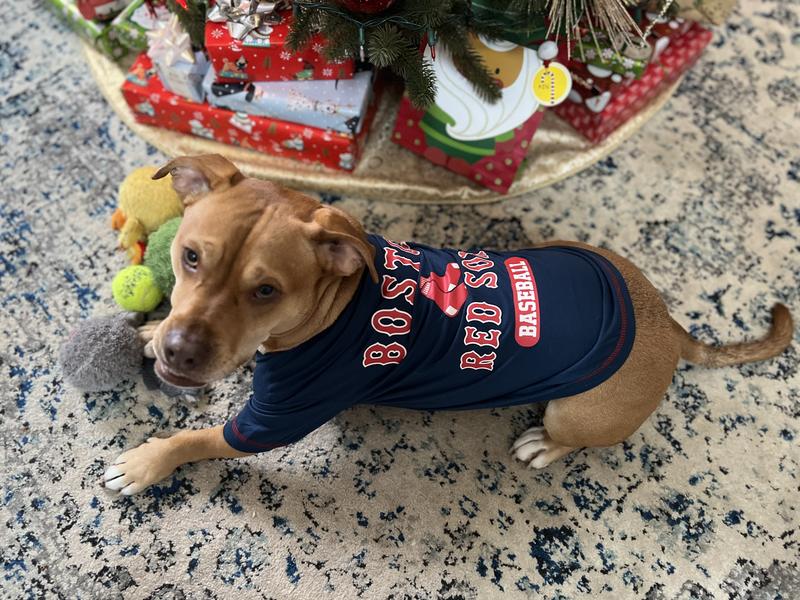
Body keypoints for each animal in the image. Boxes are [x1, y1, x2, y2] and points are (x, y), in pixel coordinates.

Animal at [101, 156, 792, 496]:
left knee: (576, 436)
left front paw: (147, 461)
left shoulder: (272, 422)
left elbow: (198, 440)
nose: (180, 352)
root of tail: (668, 325)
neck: (333, 304)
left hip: (580, 410)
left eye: (266, 291)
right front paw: (150, 331)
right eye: (190, 257)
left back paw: (545, 445)